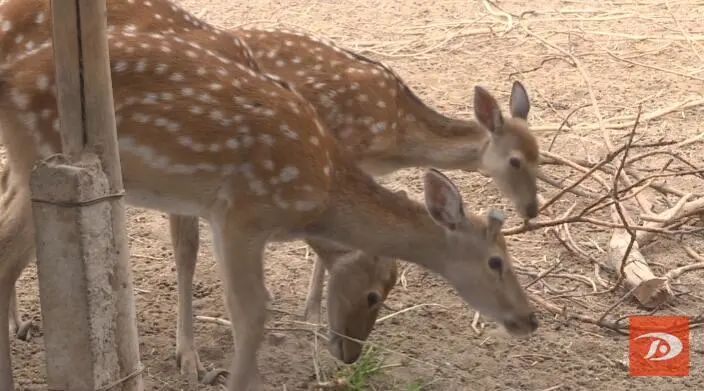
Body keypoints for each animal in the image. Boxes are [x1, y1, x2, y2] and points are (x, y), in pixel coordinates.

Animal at [0, 3, 540, 391]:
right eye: (497, 262)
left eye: (542, 157)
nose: (529, 318)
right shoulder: (242, 211)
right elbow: (248, 310)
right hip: (51, 158)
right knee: (8, 250)